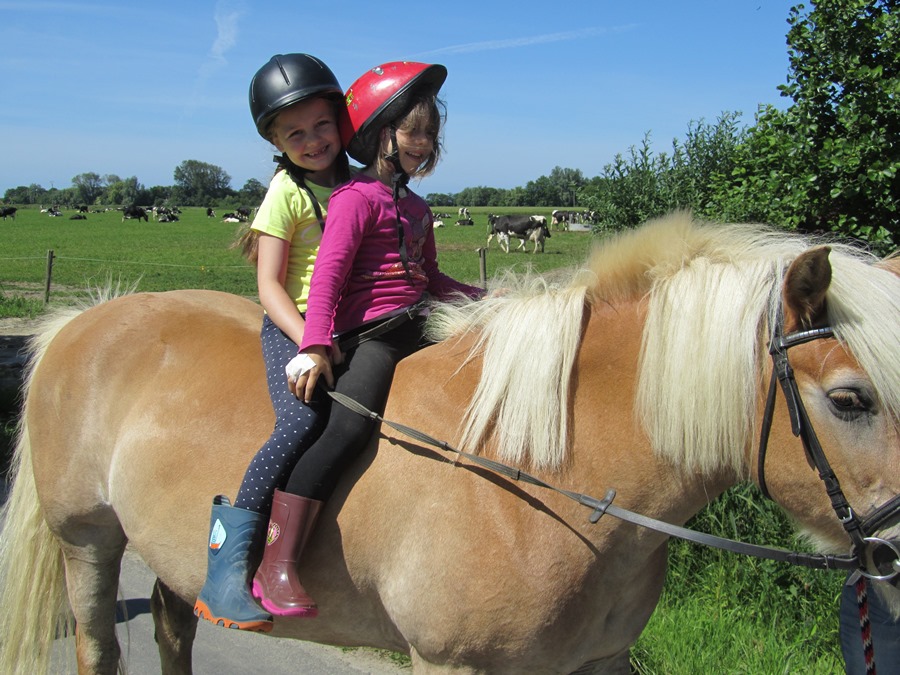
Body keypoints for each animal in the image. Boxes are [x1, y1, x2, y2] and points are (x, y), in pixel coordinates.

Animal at [1, 213, 900, 675]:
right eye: (849, 400)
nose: (896, 550)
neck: (544, 473)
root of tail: (81, 318)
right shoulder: (452, 662)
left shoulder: (597, 663)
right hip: (88, 538)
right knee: (98, 641)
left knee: (173, 622)